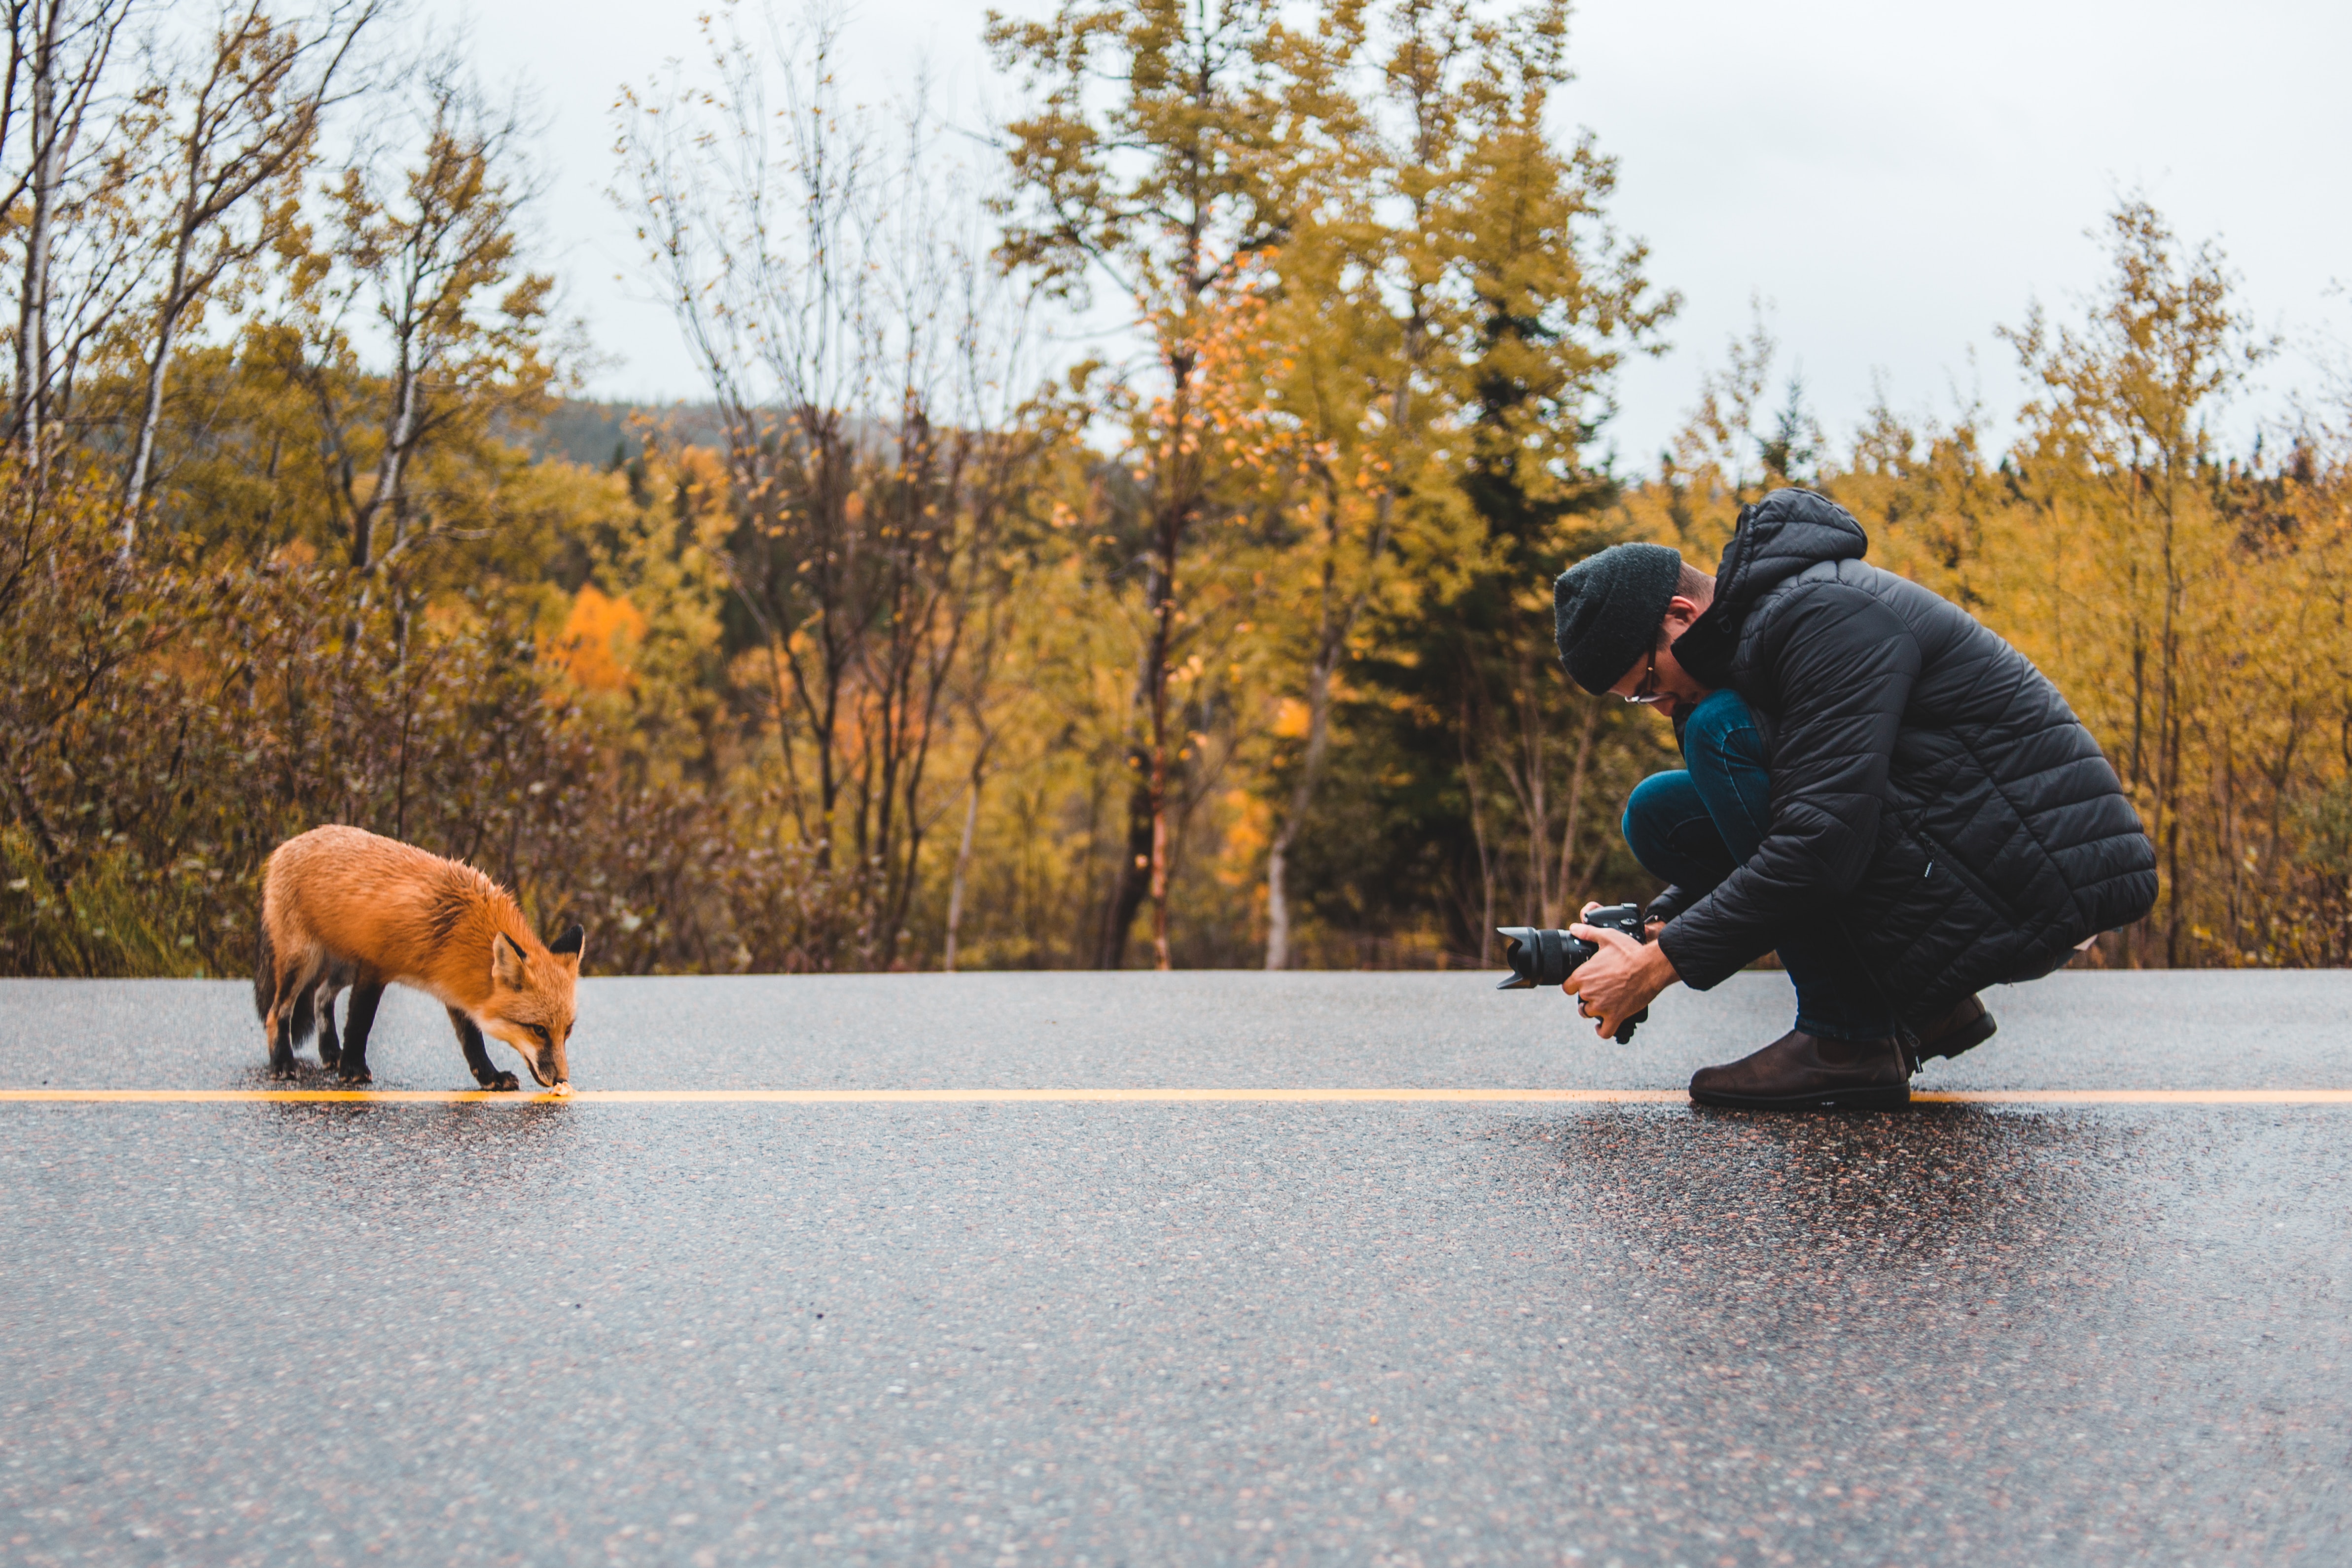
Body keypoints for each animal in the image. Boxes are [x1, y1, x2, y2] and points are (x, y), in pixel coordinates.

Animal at [251, 827, 583, 1100]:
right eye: (538, 1030)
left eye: (567, 1031)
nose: (561, 1080)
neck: (459, 927)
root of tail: (285, 846)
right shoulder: (374, 967)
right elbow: (360, 1024)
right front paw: (354, 1070)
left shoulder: (455, 985)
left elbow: (472, 1042)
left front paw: (490, 1078)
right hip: (303, 961)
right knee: (278, 1013)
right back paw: (283, 1063)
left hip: (343, 967)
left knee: (321, 997)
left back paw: (331, 1053)